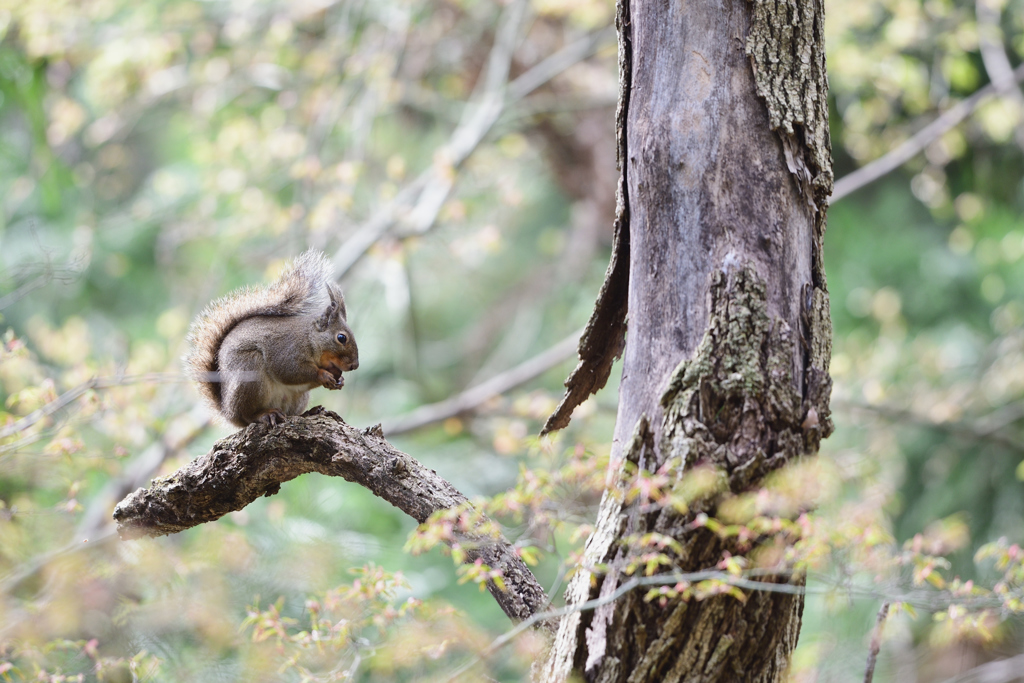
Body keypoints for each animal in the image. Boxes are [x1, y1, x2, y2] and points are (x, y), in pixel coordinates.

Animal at [185, 248, 360, 430]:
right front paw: (323, 375)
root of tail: (228, 412)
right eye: (341, 338)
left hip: (297, 398)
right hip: (250, 374)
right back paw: (265, 414)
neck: (309, 339)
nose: (354, 365)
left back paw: (309, 412)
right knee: (247, 416)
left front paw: (340, 380)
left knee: (291, 413)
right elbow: (290, 371)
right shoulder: (286, 350)